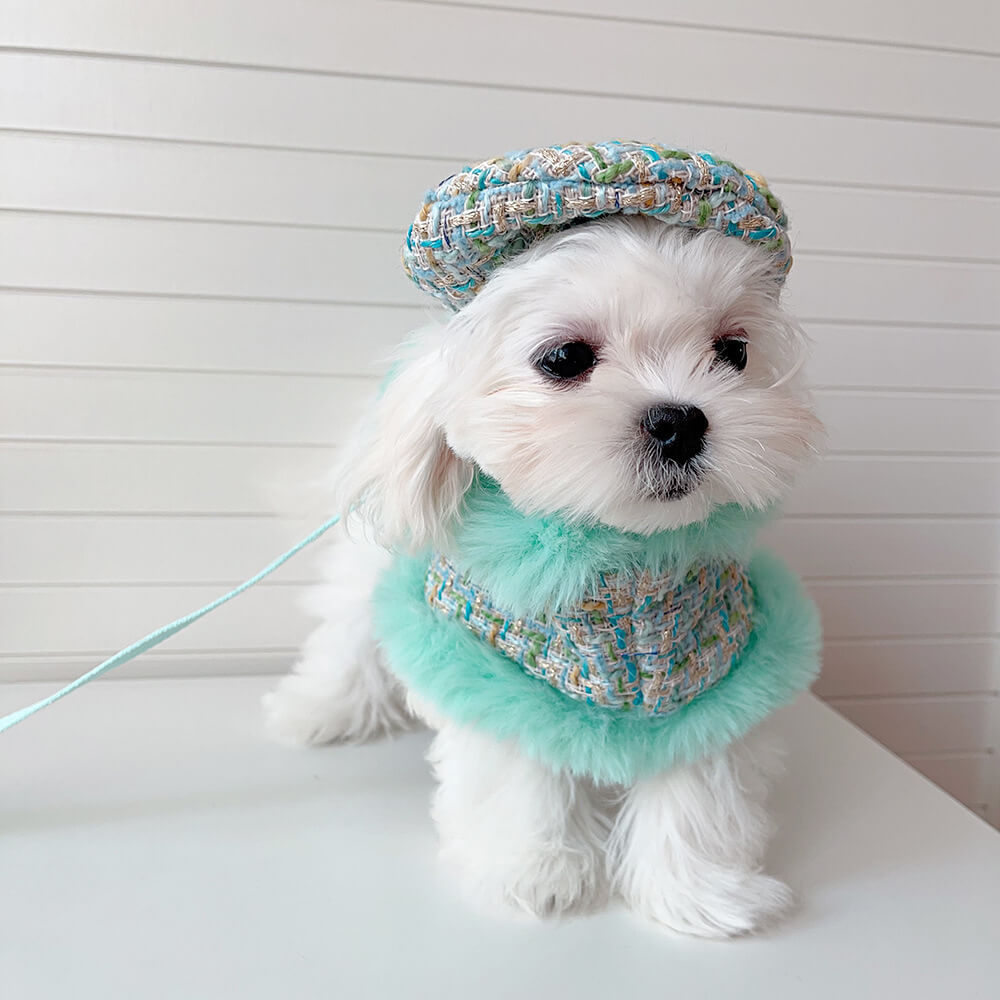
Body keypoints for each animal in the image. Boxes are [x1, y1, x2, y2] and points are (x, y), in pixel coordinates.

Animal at [262, 217, 824, 936]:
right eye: (563, 358)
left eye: (734, 351)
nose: (679, 420)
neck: (620, 564)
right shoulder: (488, 666)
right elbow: (519, 770)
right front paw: (533, 871)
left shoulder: (715, 672)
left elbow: (699, 781)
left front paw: (702, 891)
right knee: (349, 633)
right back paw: (319, 710)